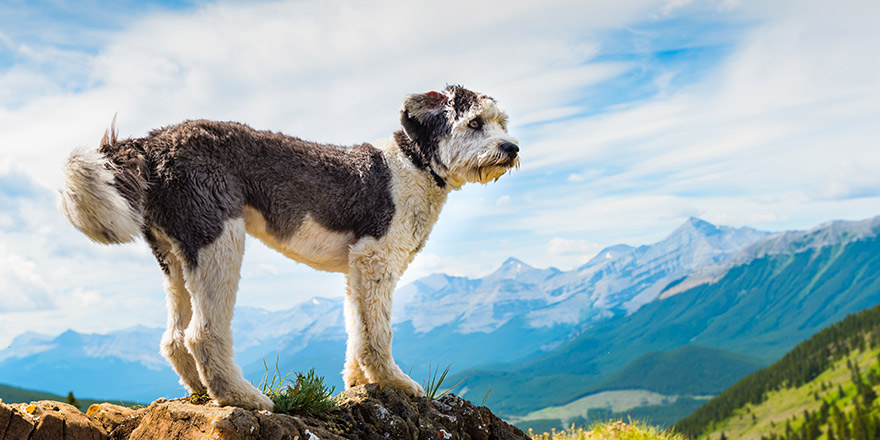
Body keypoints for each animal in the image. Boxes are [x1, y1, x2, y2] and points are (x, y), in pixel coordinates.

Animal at [58, 85, 520, 410]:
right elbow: (378, 332)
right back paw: (243, 397)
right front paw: (394, 382)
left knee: (173, 338)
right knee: (202, 333)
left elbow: (358, 328)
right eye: (474, 123)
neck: (414, 163)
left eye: (502, 122)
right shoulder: (375, 258)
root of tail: (150, 144)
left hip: (174, 253)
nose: (512, 148)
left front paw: (358, 382)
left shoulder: (357, 269)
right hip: (219, 236)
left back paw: (202, 391)